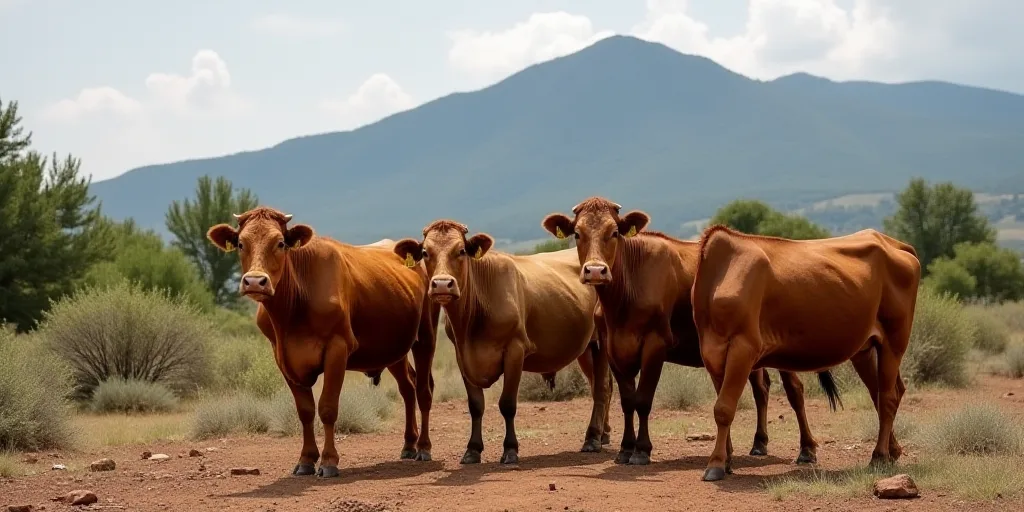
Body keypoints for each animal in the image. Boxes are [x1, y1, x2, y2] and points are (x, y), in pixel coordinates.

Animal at [206, 206, 441, 478]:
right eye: (241, 243)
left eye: (280, 243)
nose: (255, 281)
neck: (291, 313)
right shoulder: (283, 358)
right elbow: (305, 411)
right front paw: (306, 459)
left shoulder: (337, 349)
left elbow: (327, 408)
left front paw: (329, 461)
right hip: (393, 349)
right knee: (408, 387)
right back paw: (408, 445)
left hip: (425, 336)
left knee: (424, 390)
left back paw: (423, 447)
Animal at [393, 219, 613, 465]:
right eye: (425, 252)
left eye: (461, 251)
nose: (442, 284)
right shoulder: (462, 356)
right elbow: (475, 405)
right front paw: (472, 450)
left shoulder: (515, 350)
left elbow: (507, 404)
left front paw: (510, 449)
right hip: (586, 348)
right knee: (597, 384)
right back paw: (602, 434)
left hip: (602, 340)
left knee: (602, 387)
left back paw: (592, 438)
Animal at [541, 197, 839, 466]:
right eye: (577, 234)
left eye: (614, 232)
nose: (595, 271)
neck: (625, 295)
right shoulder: (612, 347)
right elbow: (627, 401)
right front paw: (625, 449)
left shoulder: (655, 344)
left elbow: (643, 400)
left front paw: (641, 450)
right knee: (761, 388)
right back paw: (759, 443)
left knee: (794, 390)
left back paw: (806, 450)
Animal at [691, 224, 921, 481]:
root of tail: (894, 243)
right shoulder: (712, 353)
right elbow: (722, 405)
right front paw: (727, 459)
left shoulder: (744, 347)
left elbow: (724, 408)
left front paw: (716, 464)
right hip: (865, 349)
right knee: (882, 392)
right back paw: (893, 451)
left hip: (895, 340)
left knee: (888, 397)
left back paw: (879, 456)